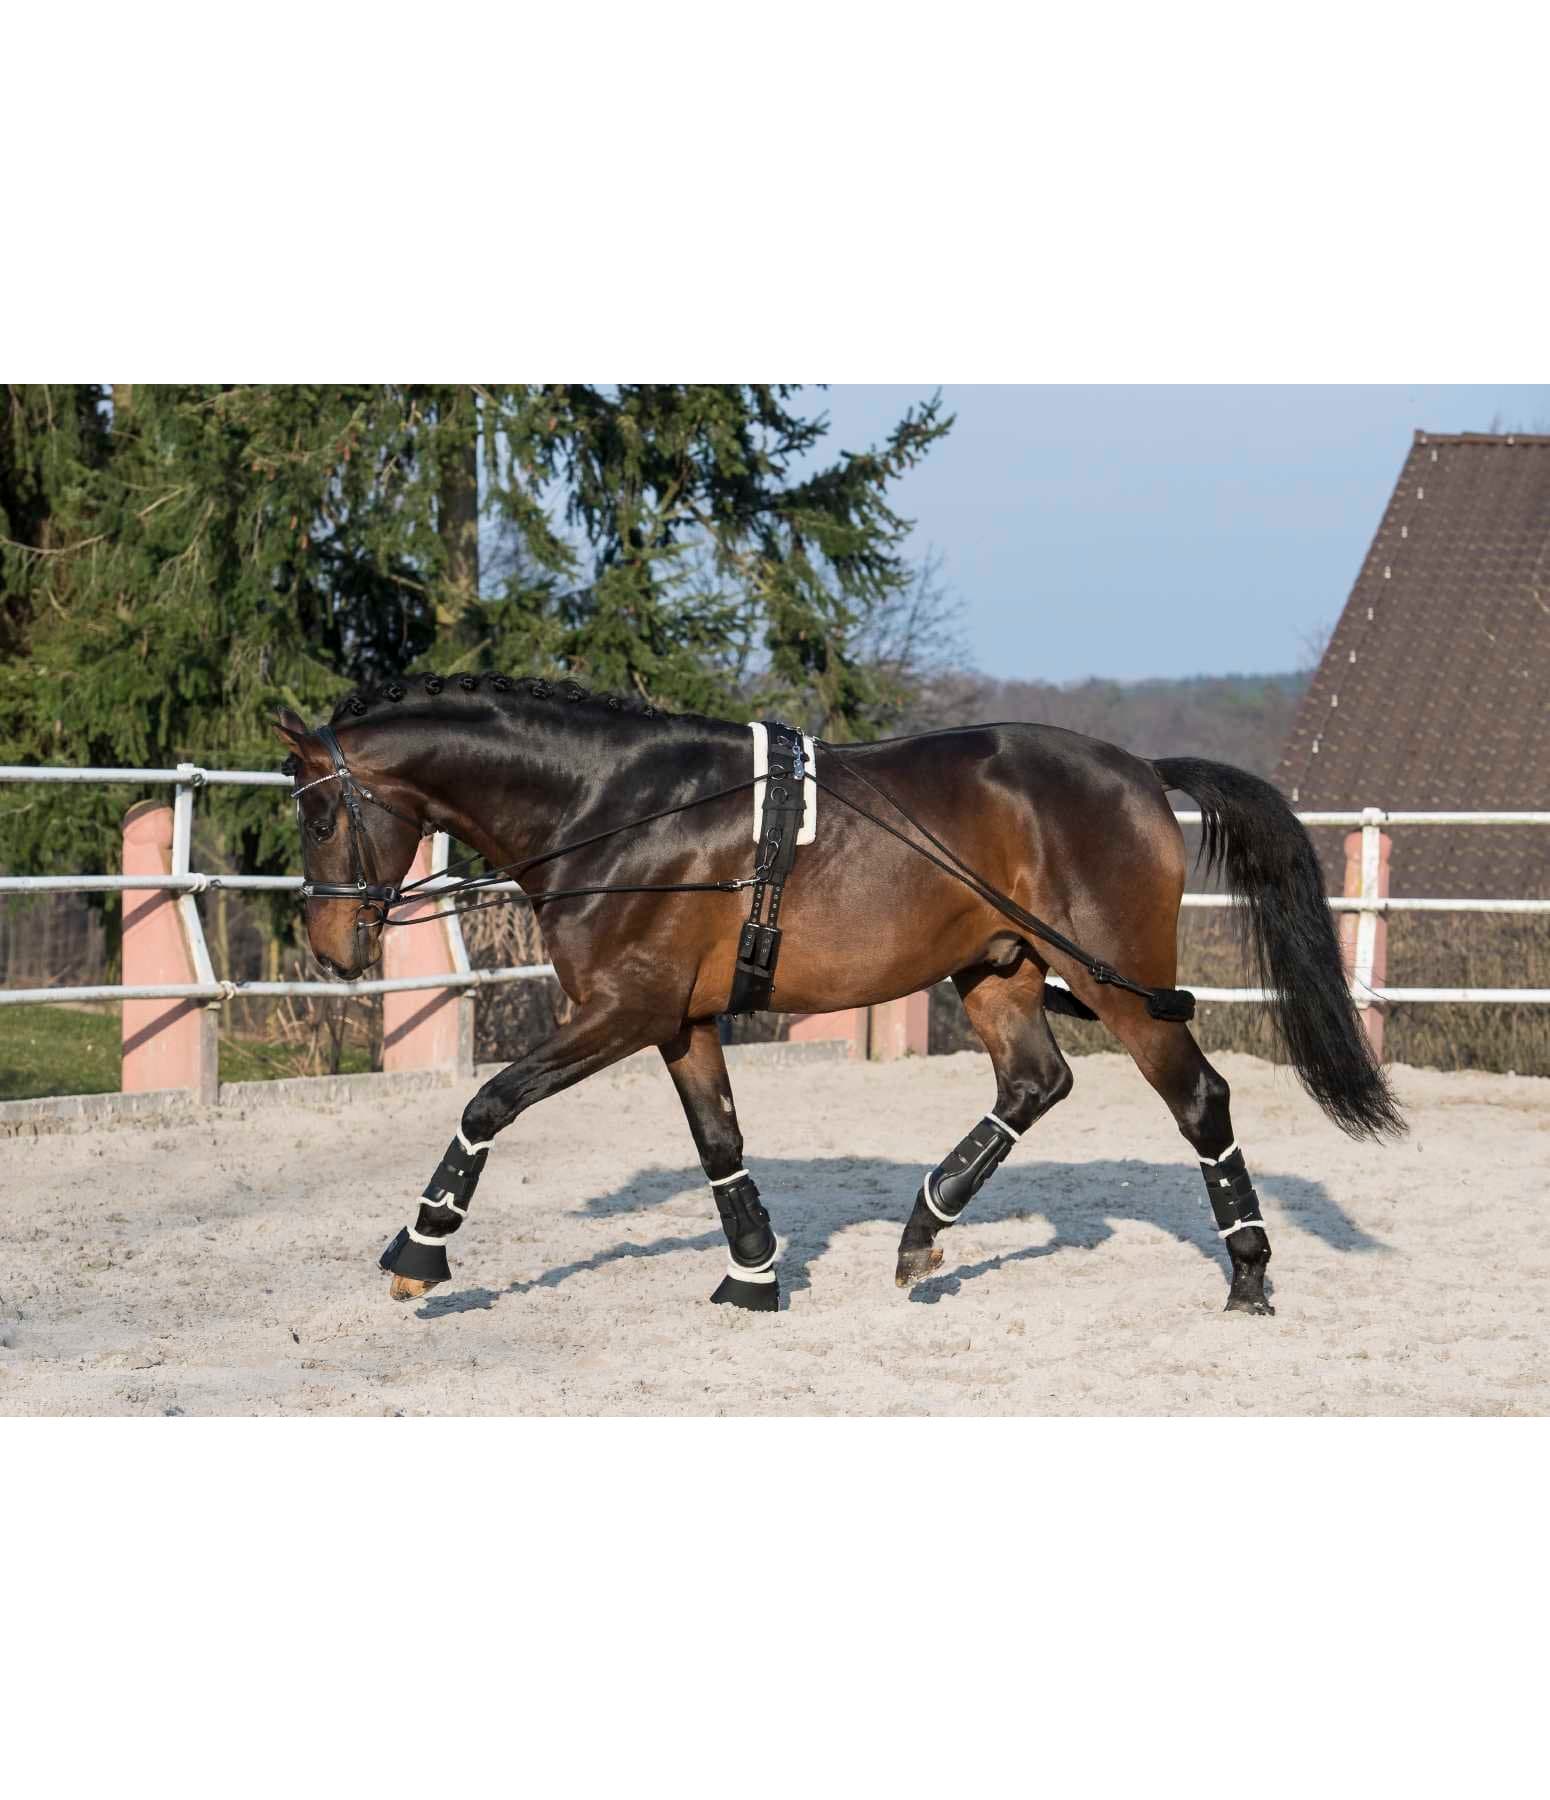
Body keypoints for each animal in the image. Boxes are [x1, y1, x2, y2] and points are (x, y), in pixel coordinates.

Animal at [275, 672, 1404, 1319]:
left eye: (323, 815)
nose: (330, 949)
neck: (616, 809)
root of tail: (1134, 767)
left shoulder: (622, 1011)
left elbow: (488, 1102)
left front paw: (418, 1254)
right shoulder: (678, 1021)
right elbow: (719, 1146)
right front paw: (752, 1277)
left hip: (1115, 985)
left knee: (1200, 1101)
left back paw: (1247, 1275)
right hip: (997, 973)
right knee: (1034, 1084)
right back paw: (920, 1234)